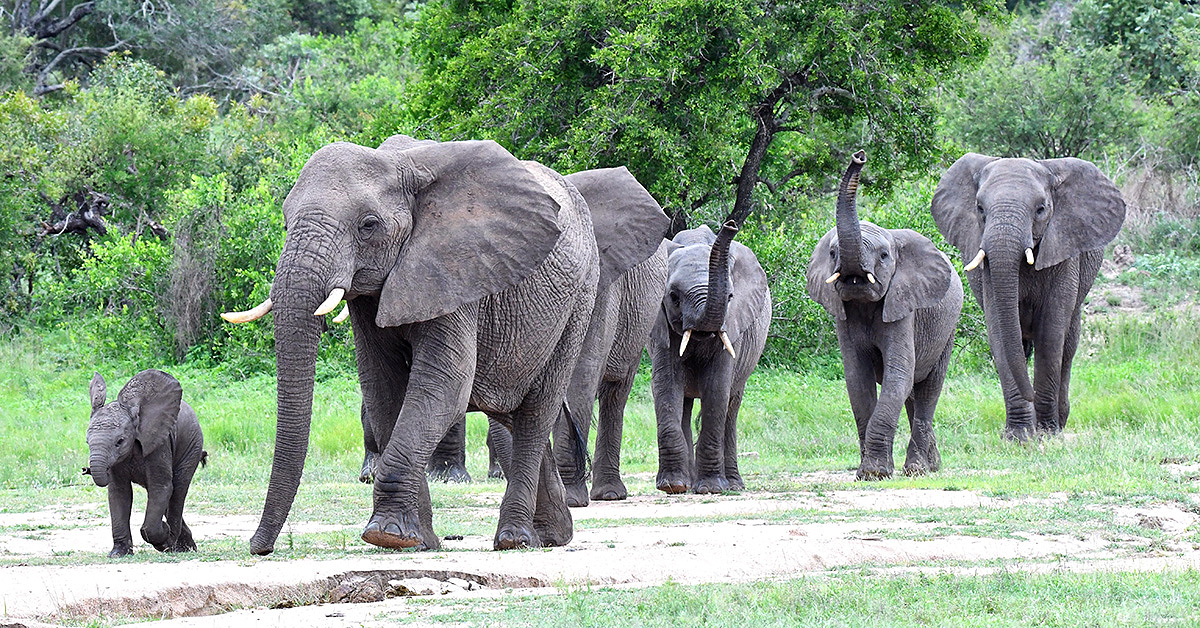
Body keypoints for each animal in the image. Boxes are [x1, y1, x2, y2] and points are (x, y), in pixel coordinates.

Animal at [83, 370, 207, 557]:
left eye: (120, 441)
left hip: (192, 445)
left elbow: (161, 487)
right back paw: (185, 547)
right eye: (87, 442)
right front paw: (118, 553)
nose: (86, 469)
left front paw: (163, 537)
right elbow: (119, 493)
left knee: (177, 490)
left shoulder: (159, 445)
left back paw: (174, 543)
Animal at [222, 135, 599, 554]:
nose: (258, 546)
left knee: (535, 413)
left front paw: (386, 535)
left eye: (369, 225)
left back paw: (514, 539)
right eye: (286, 223)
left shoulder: (457, 268)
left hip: (579, 302)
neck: (398, 166)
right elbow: (383, 389)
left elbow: (443, 384)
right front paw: (419, 541)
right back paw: (551, 537)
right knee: (511, 414)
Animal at [650, 220, 771, 494]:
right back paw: (688, 484)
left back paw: (733, 485)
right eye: (673, 296)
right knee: (685, 406)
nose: (731, 225)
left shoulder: (733, 326)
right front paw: (672, 486)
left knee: (731, 407)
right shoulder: (661, 325)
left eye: (730, 297)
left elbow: (716, 389)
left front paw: (711, 488)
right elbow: (666, 387)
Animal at [806, 151, 963, 480]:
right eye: (832, 253)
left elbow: (897, 374)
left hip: (948, 328)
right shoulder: (844, 316)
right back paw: (931, 466)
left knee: (928, 389)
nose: (859, 156)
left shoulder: (904, 309)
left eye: (884, 256)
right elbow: (857, 379)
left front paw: (875, 473)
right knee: (914, 394)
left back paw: (917, 470)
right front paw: (868, 472)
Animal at [931, 153, 1125, 439]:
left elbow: (1051, 334)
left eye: (1041, 209)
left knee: (1068, 346)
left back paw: (1060, 421)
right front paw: (1019, 437)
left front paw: (1046, 433)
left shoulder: (1064, 250)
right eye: (980, 208)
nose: (1031, 396)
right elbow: (1000, 334)